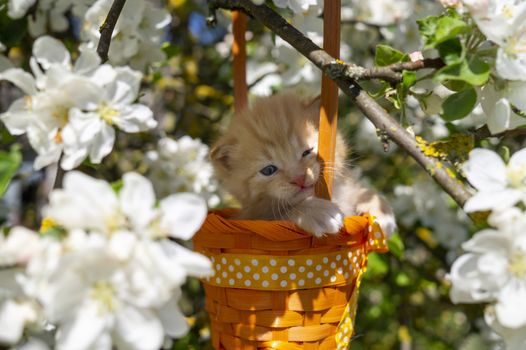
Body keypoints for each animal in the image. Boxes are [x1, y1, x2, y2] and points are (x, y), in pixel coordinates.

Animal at [210, 93, 396, 237]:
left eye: (307, 152)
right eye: (269, 170)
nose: (299, 178)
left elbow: (361, 192)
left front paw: (381, 211)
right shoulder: (249, 218)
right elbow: (281, 214)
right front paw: (316, 211)